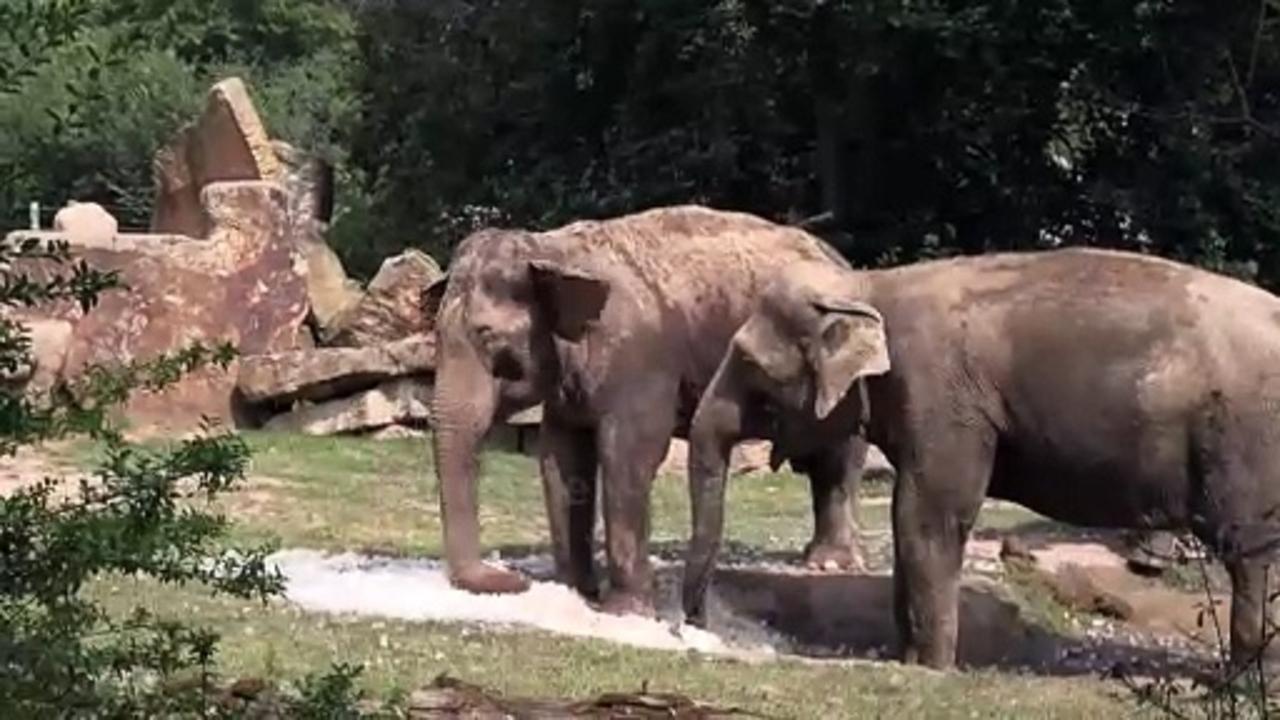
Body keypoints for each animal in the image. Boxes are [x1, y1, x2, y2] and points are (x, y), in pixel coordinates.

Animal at [424, 203, 865, 609]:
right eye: (437, 338)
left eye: (488, 337)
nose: (513, 580)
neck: (554, 250)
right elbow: (561, 456)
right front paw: (576, 592)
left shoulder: (638, 359)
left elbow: (628, 452)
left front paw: (625, 608)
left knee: (837, 458)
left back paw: (830, 562)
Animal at [686, 245, 1280, 666]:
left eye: (749, 363)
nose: (697, 624)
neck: (870, 285)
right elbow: (912, 518)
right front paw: (908, 659)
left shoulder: (944, 398)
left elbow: (928, 515)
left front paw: (929, 668)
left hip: (1247, 440)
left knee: (1250, 553)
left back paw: (1242, 678)